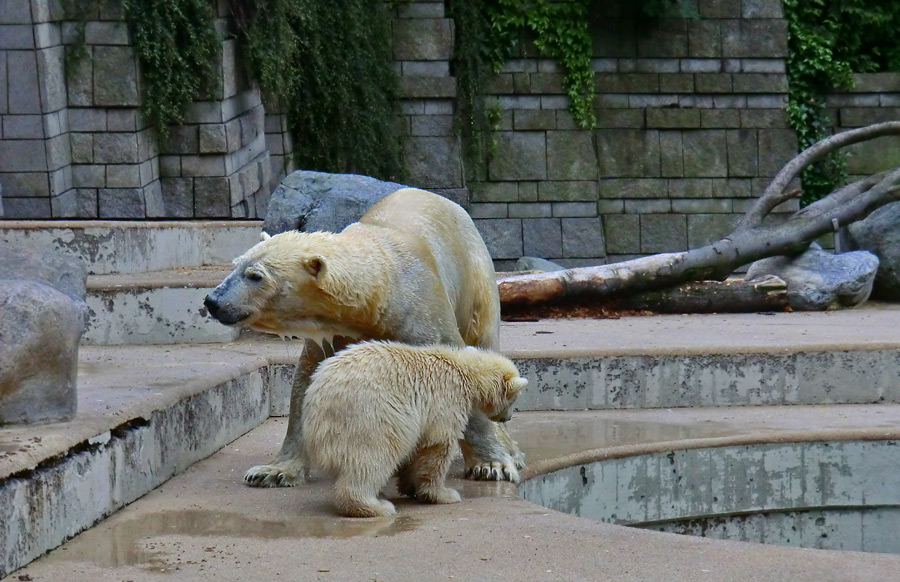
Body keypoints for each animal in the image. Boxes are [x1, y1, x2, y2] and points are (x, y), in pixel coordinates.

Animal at [205, 189, 524, 486]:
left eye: (255, 276)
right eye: (235, 264)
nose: (213, 301)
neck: (379, 291)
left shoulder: (424, 313)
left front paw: (491, 465)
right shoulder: (331, 335)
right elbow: (307, 384)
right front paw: (272, 472)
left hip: (476, 278)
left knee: (486, 342)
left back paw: (511, 450)